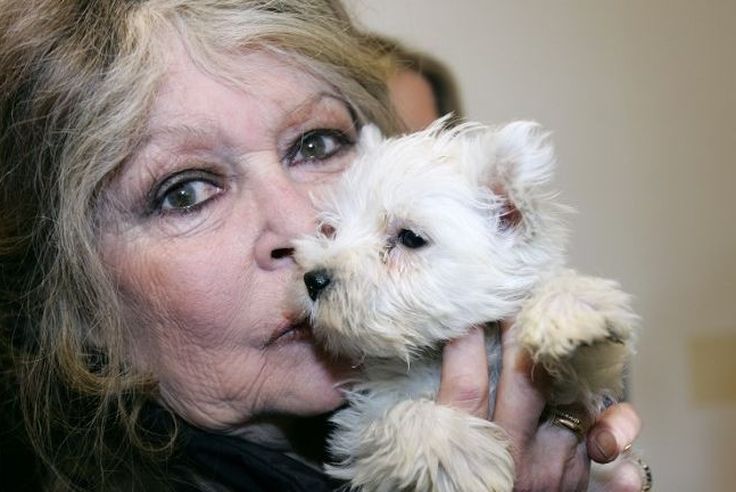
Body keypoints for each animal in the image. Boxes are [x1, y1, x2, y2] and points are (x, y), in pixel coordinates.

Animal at [294, 120, 640, 492]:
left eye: (410, 238)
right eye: (331, 230)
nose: (312, 280)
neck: (435, 352)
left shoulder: (583, 389)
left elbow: (586, 362)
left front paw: (570, 314)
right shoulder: (364, 417)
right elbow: (398, 419)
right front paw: (464, 452)